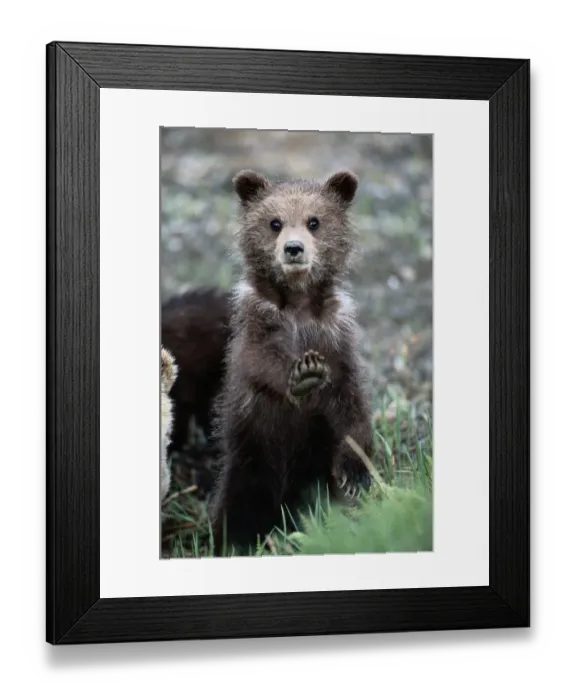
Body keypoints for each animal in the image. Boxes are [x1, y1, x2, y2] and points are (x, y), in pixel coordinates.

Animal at [209, 169, 374, 553]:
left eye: (314, 221)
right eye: (275, 222)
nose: (294, 248)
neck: (298, 307)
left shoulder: (338, 339)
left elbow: (351, 403)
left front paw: (356, 473)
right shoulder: (257, 327)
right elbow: (264, 363)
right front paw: (304, 371)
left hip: (312, 475)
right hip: (249, 460)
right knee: (239, 506)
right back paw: (236, 542)